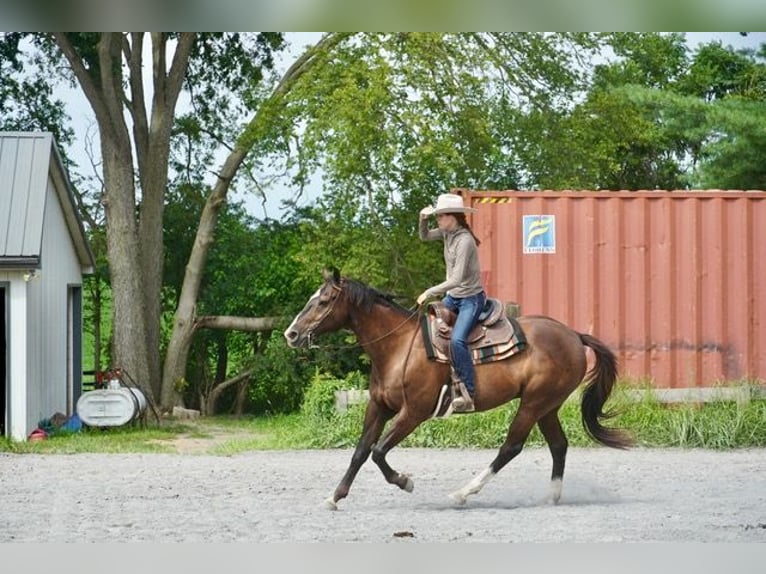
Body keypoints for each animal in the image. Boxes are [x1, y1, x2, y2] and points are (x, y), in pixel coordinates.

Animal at [284, 268, 633, 510]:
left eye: (324, 301)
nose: (291, 333)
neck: (398, 348)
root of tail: (573, 335)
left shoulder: (414, 412)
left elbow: (379, 451)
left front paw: (405, 482)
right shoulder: (379, 407)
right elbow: (360, 451)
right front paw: (335, 497)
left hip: (534, 403)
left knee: (511, 447)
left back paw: (463, 493)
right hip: (548, 406)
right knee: (558, 446)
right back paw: (551, 497)